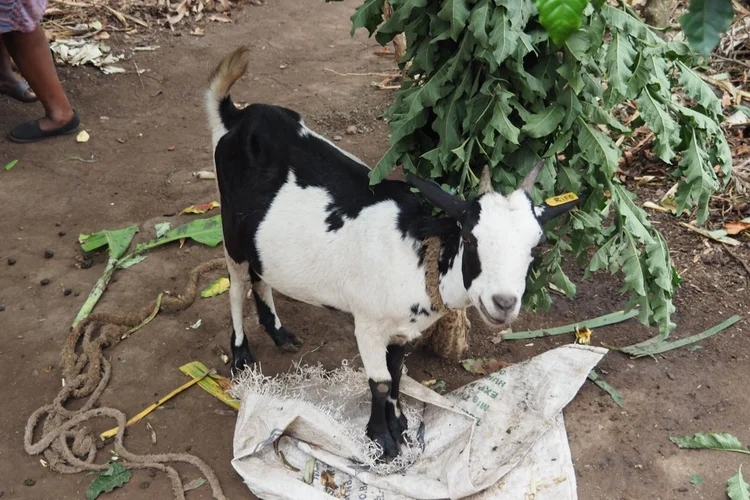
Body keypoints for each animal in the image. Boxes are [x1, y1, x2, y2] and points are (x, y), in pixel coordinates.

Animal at [204, 47, 579, 459]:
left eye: (536, 245)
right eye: (470, 236)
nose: (504, 302)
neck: (419, 257)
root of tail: (237, 117)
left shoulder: (402, 330)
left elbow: (397, 373)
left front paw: (400, 428)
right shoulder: (367, 324)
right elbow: (380, 381)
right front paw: (381, 441)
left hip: (259, 238)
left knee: (261, 274)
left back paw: (279, 333)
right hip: (230, 227)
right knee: (237, 283)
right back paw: (241, 356)